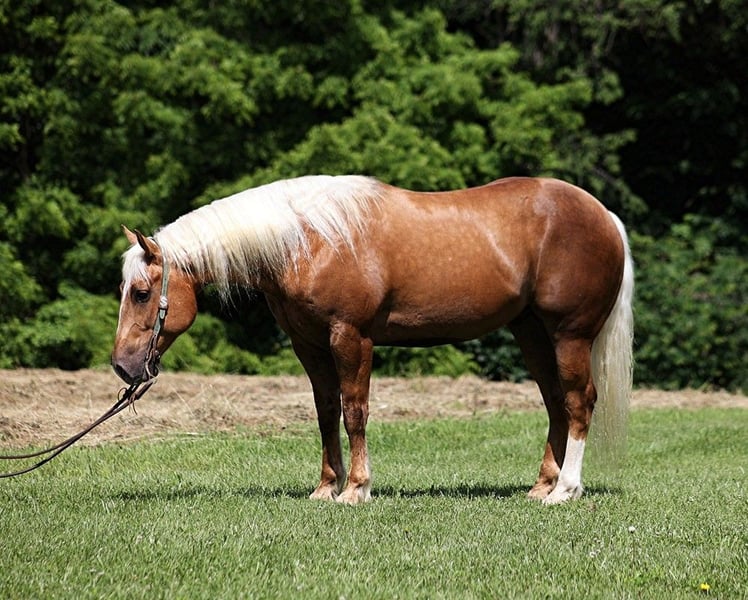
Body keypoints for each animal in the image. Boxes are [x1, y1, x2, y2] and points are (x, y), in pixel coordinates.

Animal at [112, 175, 633, 505]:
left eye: (141, 293)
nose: (122, 366)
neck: (310, 239)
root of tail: (605, 215)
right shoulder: (309, 345)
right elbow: (326, 412)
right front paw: (326, 487)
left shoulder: (351, 337)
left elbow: (354, 411)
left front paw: (357, 488)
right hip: (531, 333)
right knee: (555, 404)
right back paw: (543, 485)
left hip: (569, 335)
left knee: (579, 401)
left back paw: (565, 491)